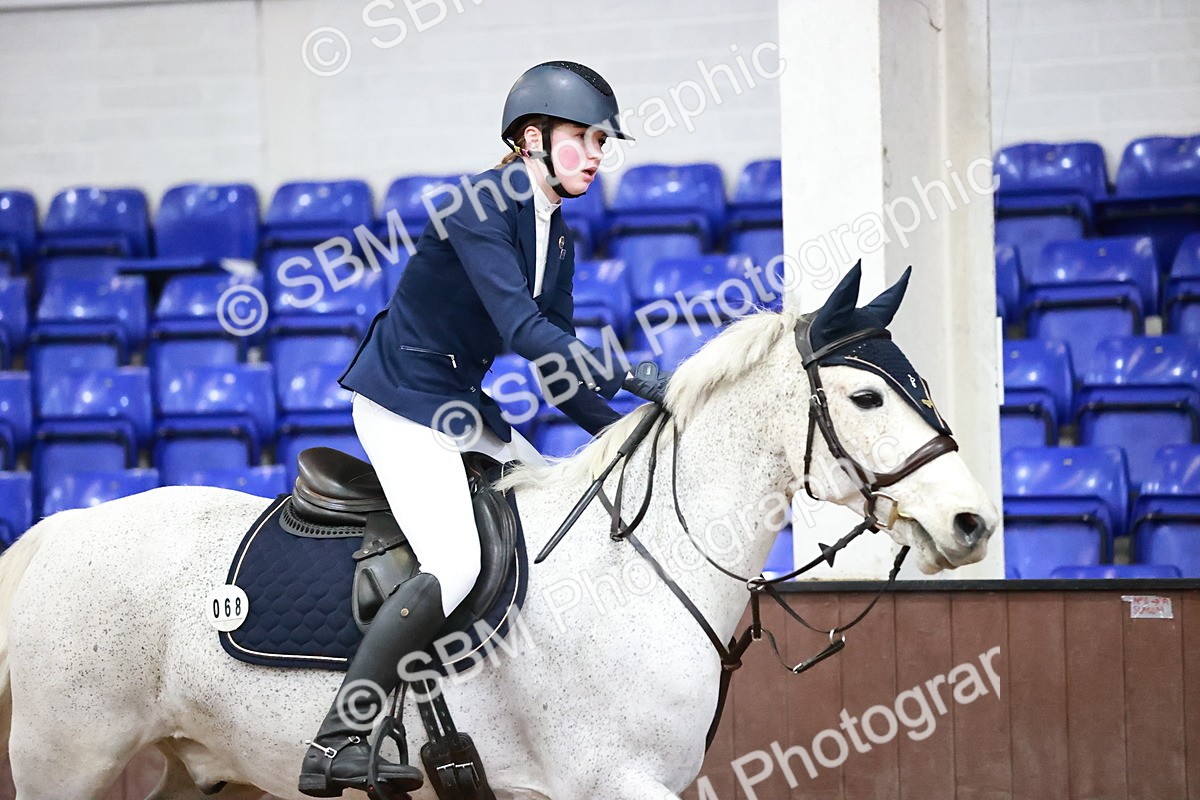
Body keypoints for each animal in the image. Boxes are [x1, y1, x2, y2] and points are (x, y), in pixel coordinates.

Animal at [0, 266, 997, 799]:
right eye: (866, 397)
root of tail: (58, 528)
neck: (642, 570)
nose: (974, 522)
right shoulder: (616, 781)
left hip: (197, 765)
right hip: (67, 761)